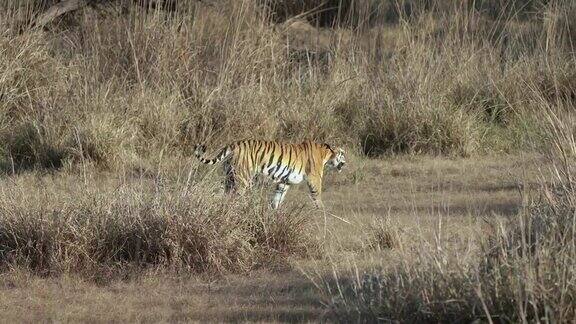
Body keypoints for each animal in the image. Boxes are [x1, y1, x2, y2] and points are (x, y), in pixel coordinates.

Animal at [194, 140, 346, 209]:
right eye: (343, 153)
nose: (346, 162)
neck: (326, 154)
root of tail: (234, 144)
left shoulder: (284, 182)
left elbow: (278, 198)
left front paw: (274, 212)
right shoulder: (314, 178)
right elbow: (318, 196)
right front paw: (322, 211)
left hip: (229, 175)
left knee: (221, 193)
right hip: (242, 178)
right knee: (233, 197)